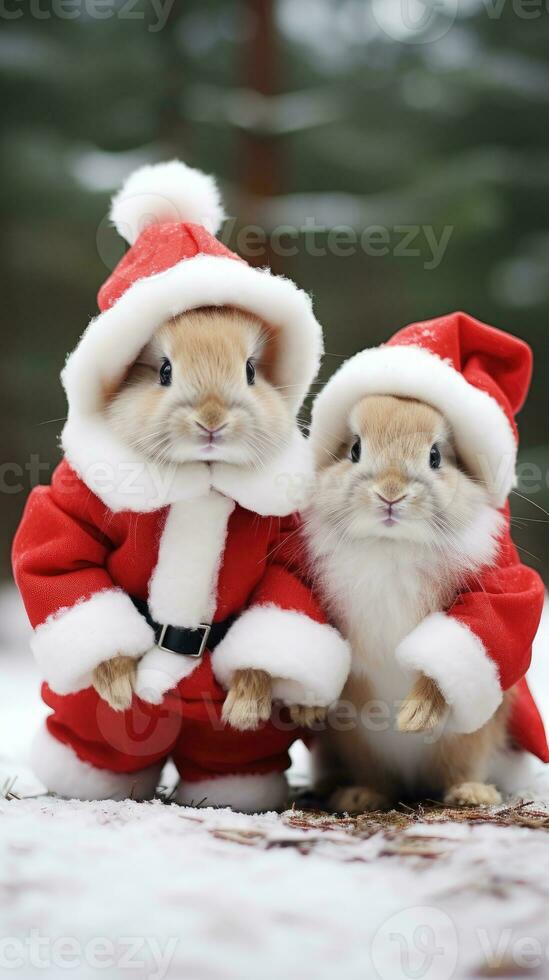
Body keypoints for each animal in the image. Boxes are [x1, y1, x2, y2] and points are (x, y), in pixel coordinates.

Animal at [12, 161, 348, 812]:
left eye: (250, 370)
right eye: (164, 371)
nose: (213, 419)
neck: (203, 476)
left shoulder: (291, 553)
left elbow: (285, 598)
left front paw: (246, 703)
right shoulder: (69, 507)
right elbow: (58, 558)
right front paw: (119, 686)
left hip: (228, 744)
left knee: (229, 756)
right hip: (83, 723)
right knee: (95, 742)